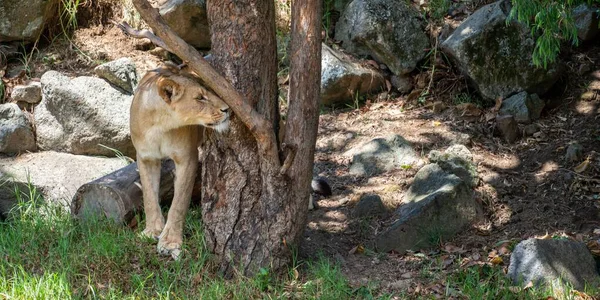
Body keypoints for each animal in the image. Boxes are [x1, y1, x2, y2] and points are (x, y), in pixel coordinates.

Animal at [130, 63, 231, 260]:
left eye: (211, 92)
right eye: (200, 98)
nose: (227, 109)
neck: (159, 126)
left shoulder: (187, 158)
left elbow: (179, 203)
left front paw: (170, 241)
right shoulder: (146, 158)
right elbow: (149, 196)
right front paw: (152, 230)